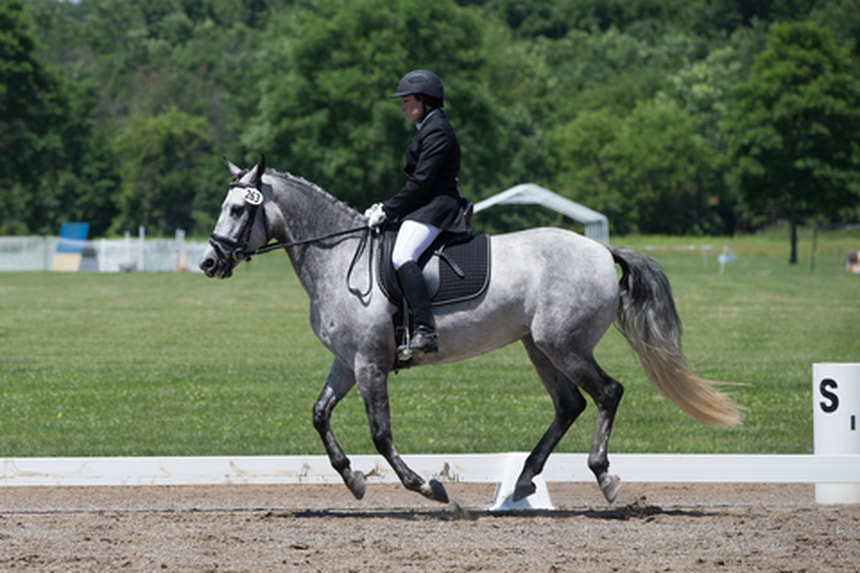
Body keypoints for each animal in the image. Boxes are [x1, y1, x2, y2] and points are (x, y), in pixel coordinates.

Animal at [200, 155, 740, 504]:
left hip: (564, 345)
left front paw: (427, 487)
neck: (338, 258)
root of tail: (601, 250)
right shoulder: (348, 362)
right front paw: (353, 480)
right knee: (570, 405)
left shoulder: (370, 363)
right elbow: (319, 414)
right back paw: (523, 480)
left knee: (607, 393)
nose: (209, 262)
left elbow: (380, 432)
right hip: (539, 348)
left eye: (238, 209)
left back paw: (603, 477)